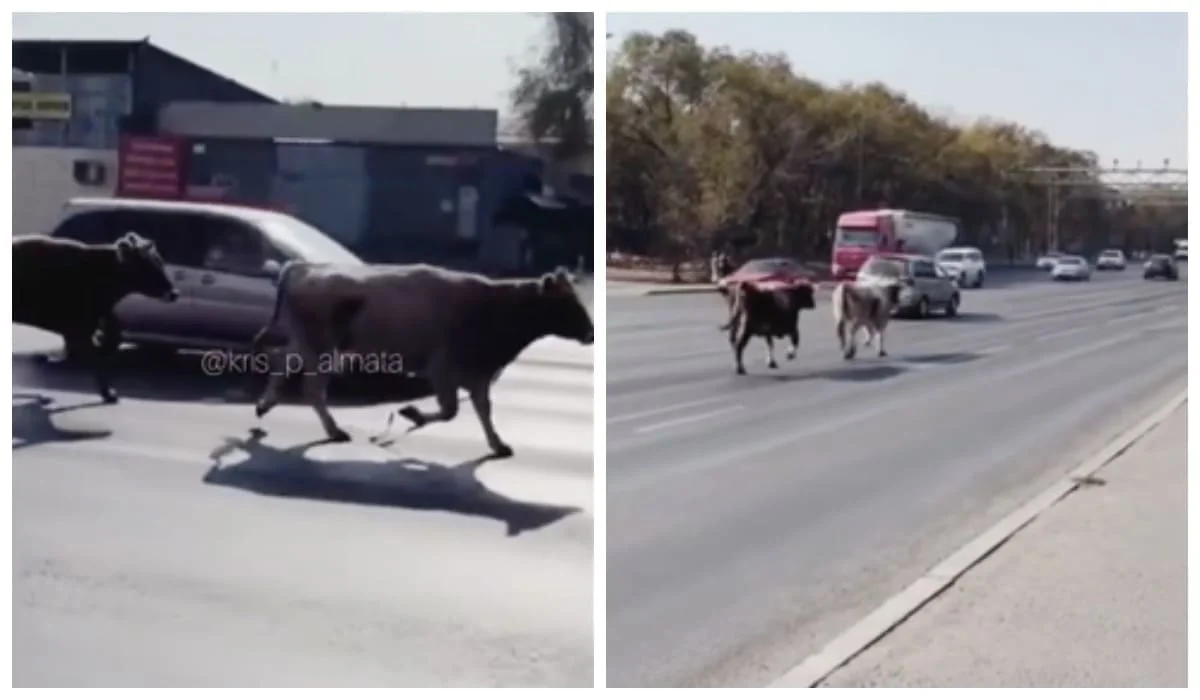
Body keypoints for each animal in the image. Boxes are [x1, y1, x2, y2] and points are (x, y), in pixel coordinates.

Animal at [12, 231, 177, 403]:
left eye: (160, 261)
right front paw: (108, 392)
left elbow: (111, 341)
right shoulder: (80, 328)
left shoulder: (96, 321)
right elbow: (96, 358)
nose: (174, 293)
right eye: (147, 266)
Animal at [250, 262, 592, 461]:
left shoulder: (478, 375)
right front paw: (411, 413)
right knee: (311, 388)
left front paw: (497, 444)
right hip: (320, 348)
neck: (496, 306)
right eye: (567, 303)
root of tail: (306, 268)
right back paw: (333, 430)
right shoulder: (444, 370)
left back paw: (265, 404)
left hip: (309, 343)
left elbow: (483, 410)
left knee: (282, 360)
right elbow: (450, 411)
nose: (591, 332)